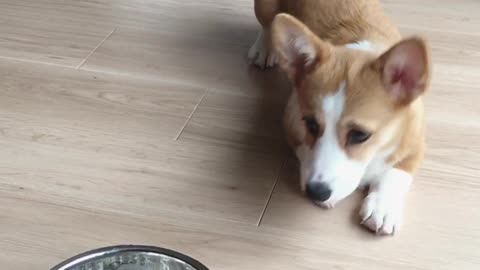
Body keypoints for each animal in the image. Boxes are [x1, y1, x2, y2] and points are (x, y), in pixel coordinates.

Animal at [249, 0, 430, 235]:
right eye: (310, 124)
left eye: (360, 135)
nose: (315, 192)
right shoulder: (291, 121)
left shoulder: (416, 142)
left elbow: (397, 172)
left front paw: (382, 207)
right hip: (265, 7)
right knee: (268, 24)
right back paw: (264, 48)